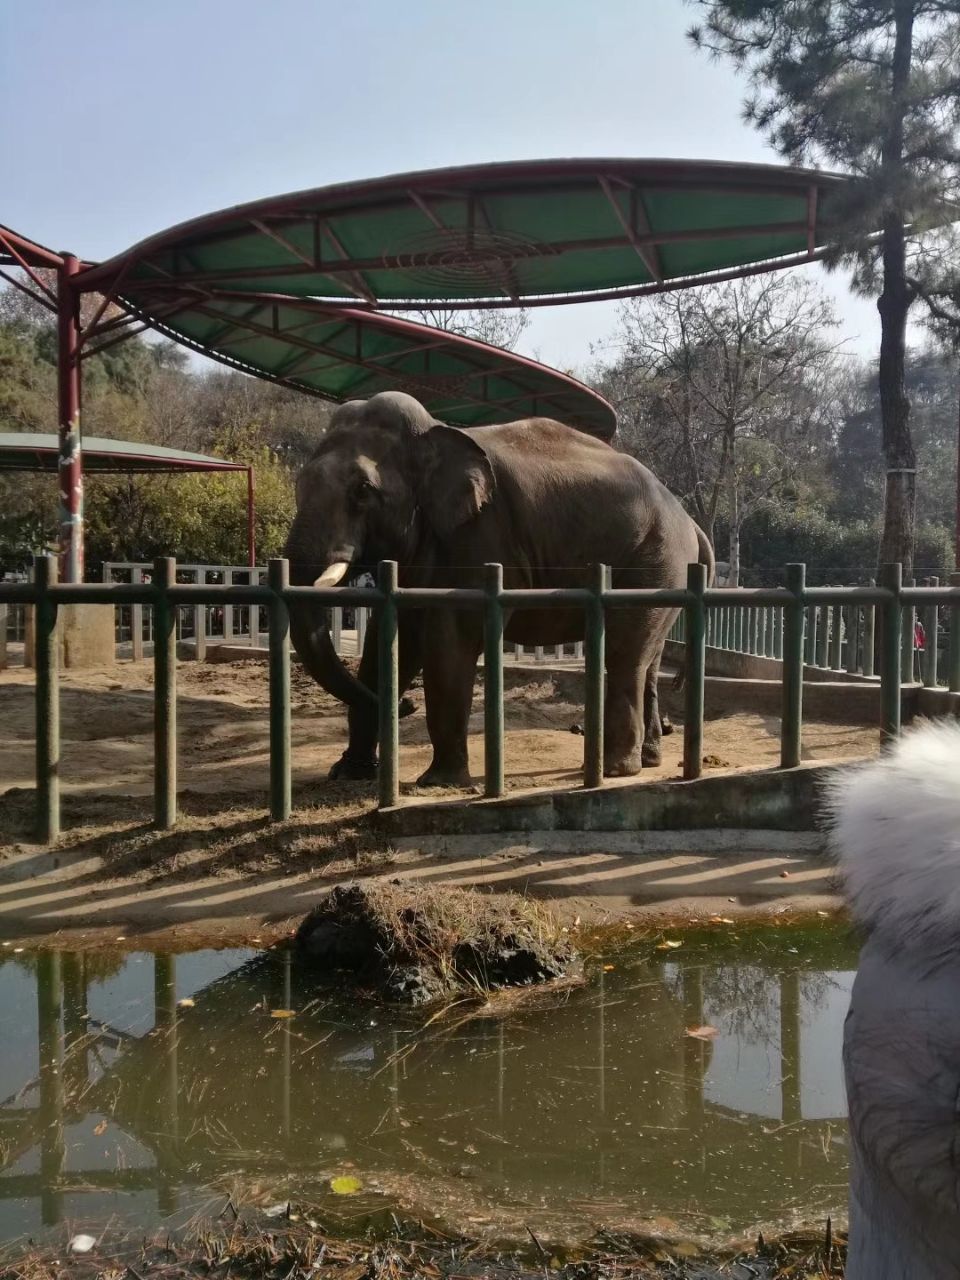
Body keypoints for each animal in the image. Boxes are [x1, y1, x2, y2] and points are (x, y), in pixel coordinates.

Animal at [285, 391, 716, 788]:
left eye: (362, 490)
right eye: (299, 484)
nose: (405, 705)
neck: (435, 431)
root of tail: (690, 522)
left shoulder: (484, 535)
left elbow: (450, 641)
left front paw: (439, 782)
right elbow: (390, 641)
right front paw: (347, 774)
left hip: (655, 560)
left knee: (625, 653)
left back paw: (614, 769)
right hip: (664, 572)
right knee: (647, 660)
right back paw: (647, 760)